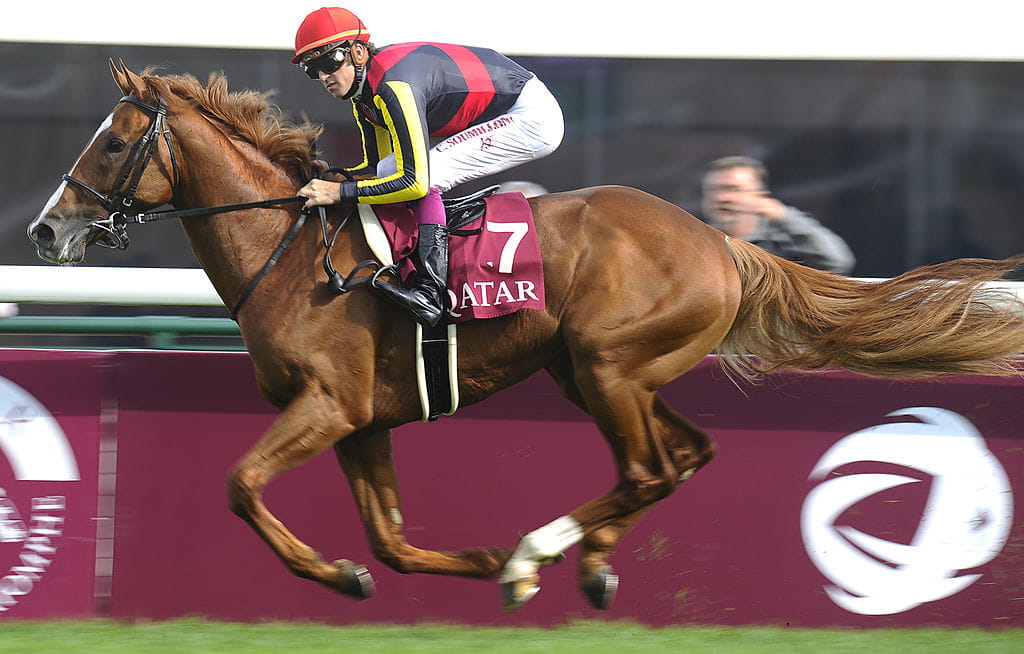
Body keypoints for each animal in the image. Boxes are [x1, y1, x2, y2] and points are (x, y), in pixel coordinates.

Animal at [25, 62, 1024, 614]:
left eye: (111, 144)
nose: (45, 229)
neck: (287, 248)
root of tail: (722, 242)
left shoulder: (328, 406)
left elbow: (239, 486)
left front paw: (382, 571)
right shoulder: (364, 422)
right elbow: (390, 541)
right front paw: (400, 571)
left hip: (609, 365)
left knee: (648, 468)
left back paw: (539, 553)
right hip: (603, 373)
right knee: (685, 456)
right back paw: (584, 565)